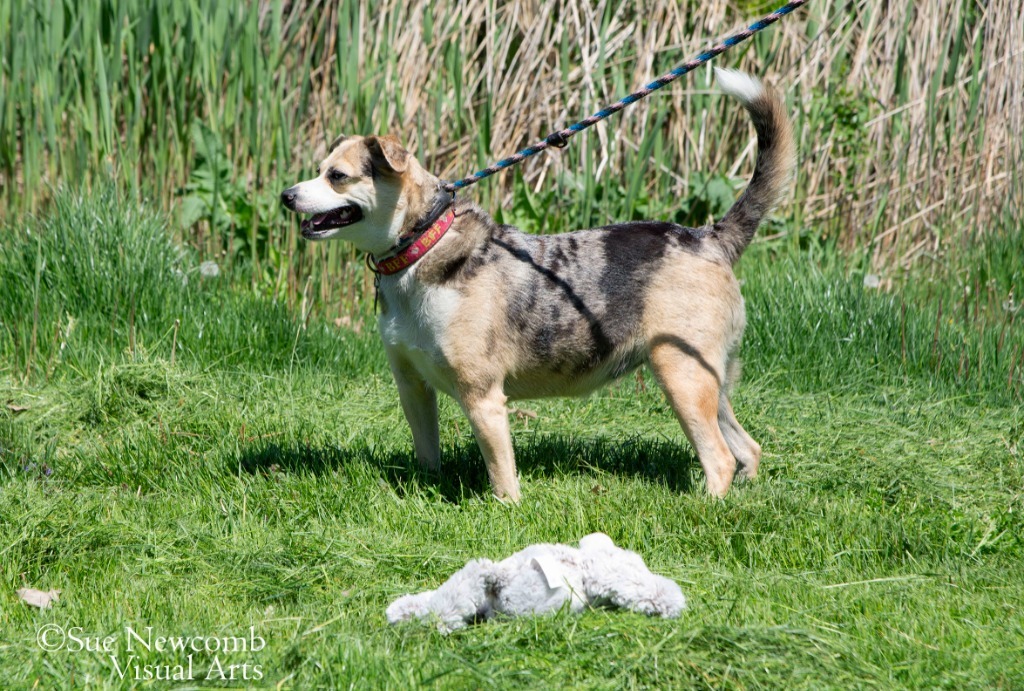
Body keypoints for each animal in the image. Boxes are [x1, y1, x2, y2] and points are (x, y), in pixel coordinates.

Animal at [282, 71, 798, 503]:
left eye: (337, 176)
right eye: (319, 169)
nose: (287, 195)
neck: (423, 247)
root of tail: (708, 237)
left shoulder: (483, 398)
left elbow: (501, 474)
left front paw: (505, 513)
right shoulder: (413, 387)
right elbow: (428, 455)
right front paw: (425, 493)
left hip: (681, 376)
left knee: (720, 458)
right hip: (709, 379)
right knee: (747, 448)